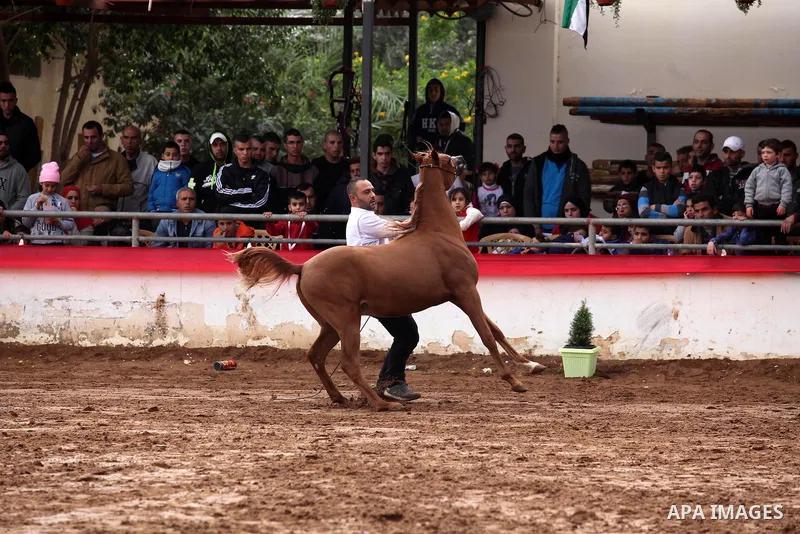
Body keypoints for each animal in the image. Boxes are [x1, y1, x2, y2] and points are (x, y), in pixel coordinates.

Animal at [230, 149, 544, 411]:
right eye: (444, 158)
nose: (462, 159)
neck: (439, 234)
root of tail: (303, 266)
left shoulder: (461, 296)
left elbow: (497, 331)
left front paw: (532, 365)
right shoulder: (466, 292)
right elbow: (487, 336)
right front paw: (515, 382)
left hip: (330, 325)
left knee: (316, 356)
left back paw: (341, 397)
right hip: (346, 320)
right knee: (349, 363)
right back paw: (383, 404)